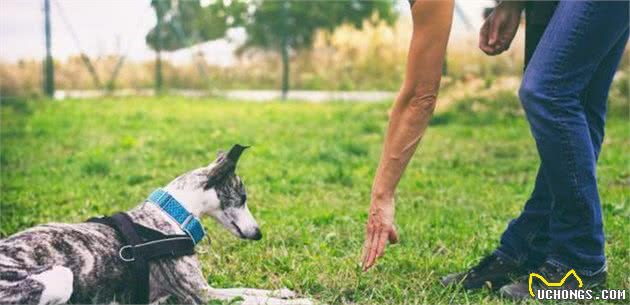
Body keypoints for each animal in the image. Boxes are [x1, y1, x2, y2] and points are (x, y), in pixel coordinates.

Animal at [0, 145, 316, 304]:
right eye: (243, 197)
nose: (259, 234)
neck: (172, 214)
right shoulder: (200, 293)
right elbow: (250, 297)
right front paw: (300, 301)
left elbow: (252, 290)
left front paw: (286, 292)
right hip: (59, 277)